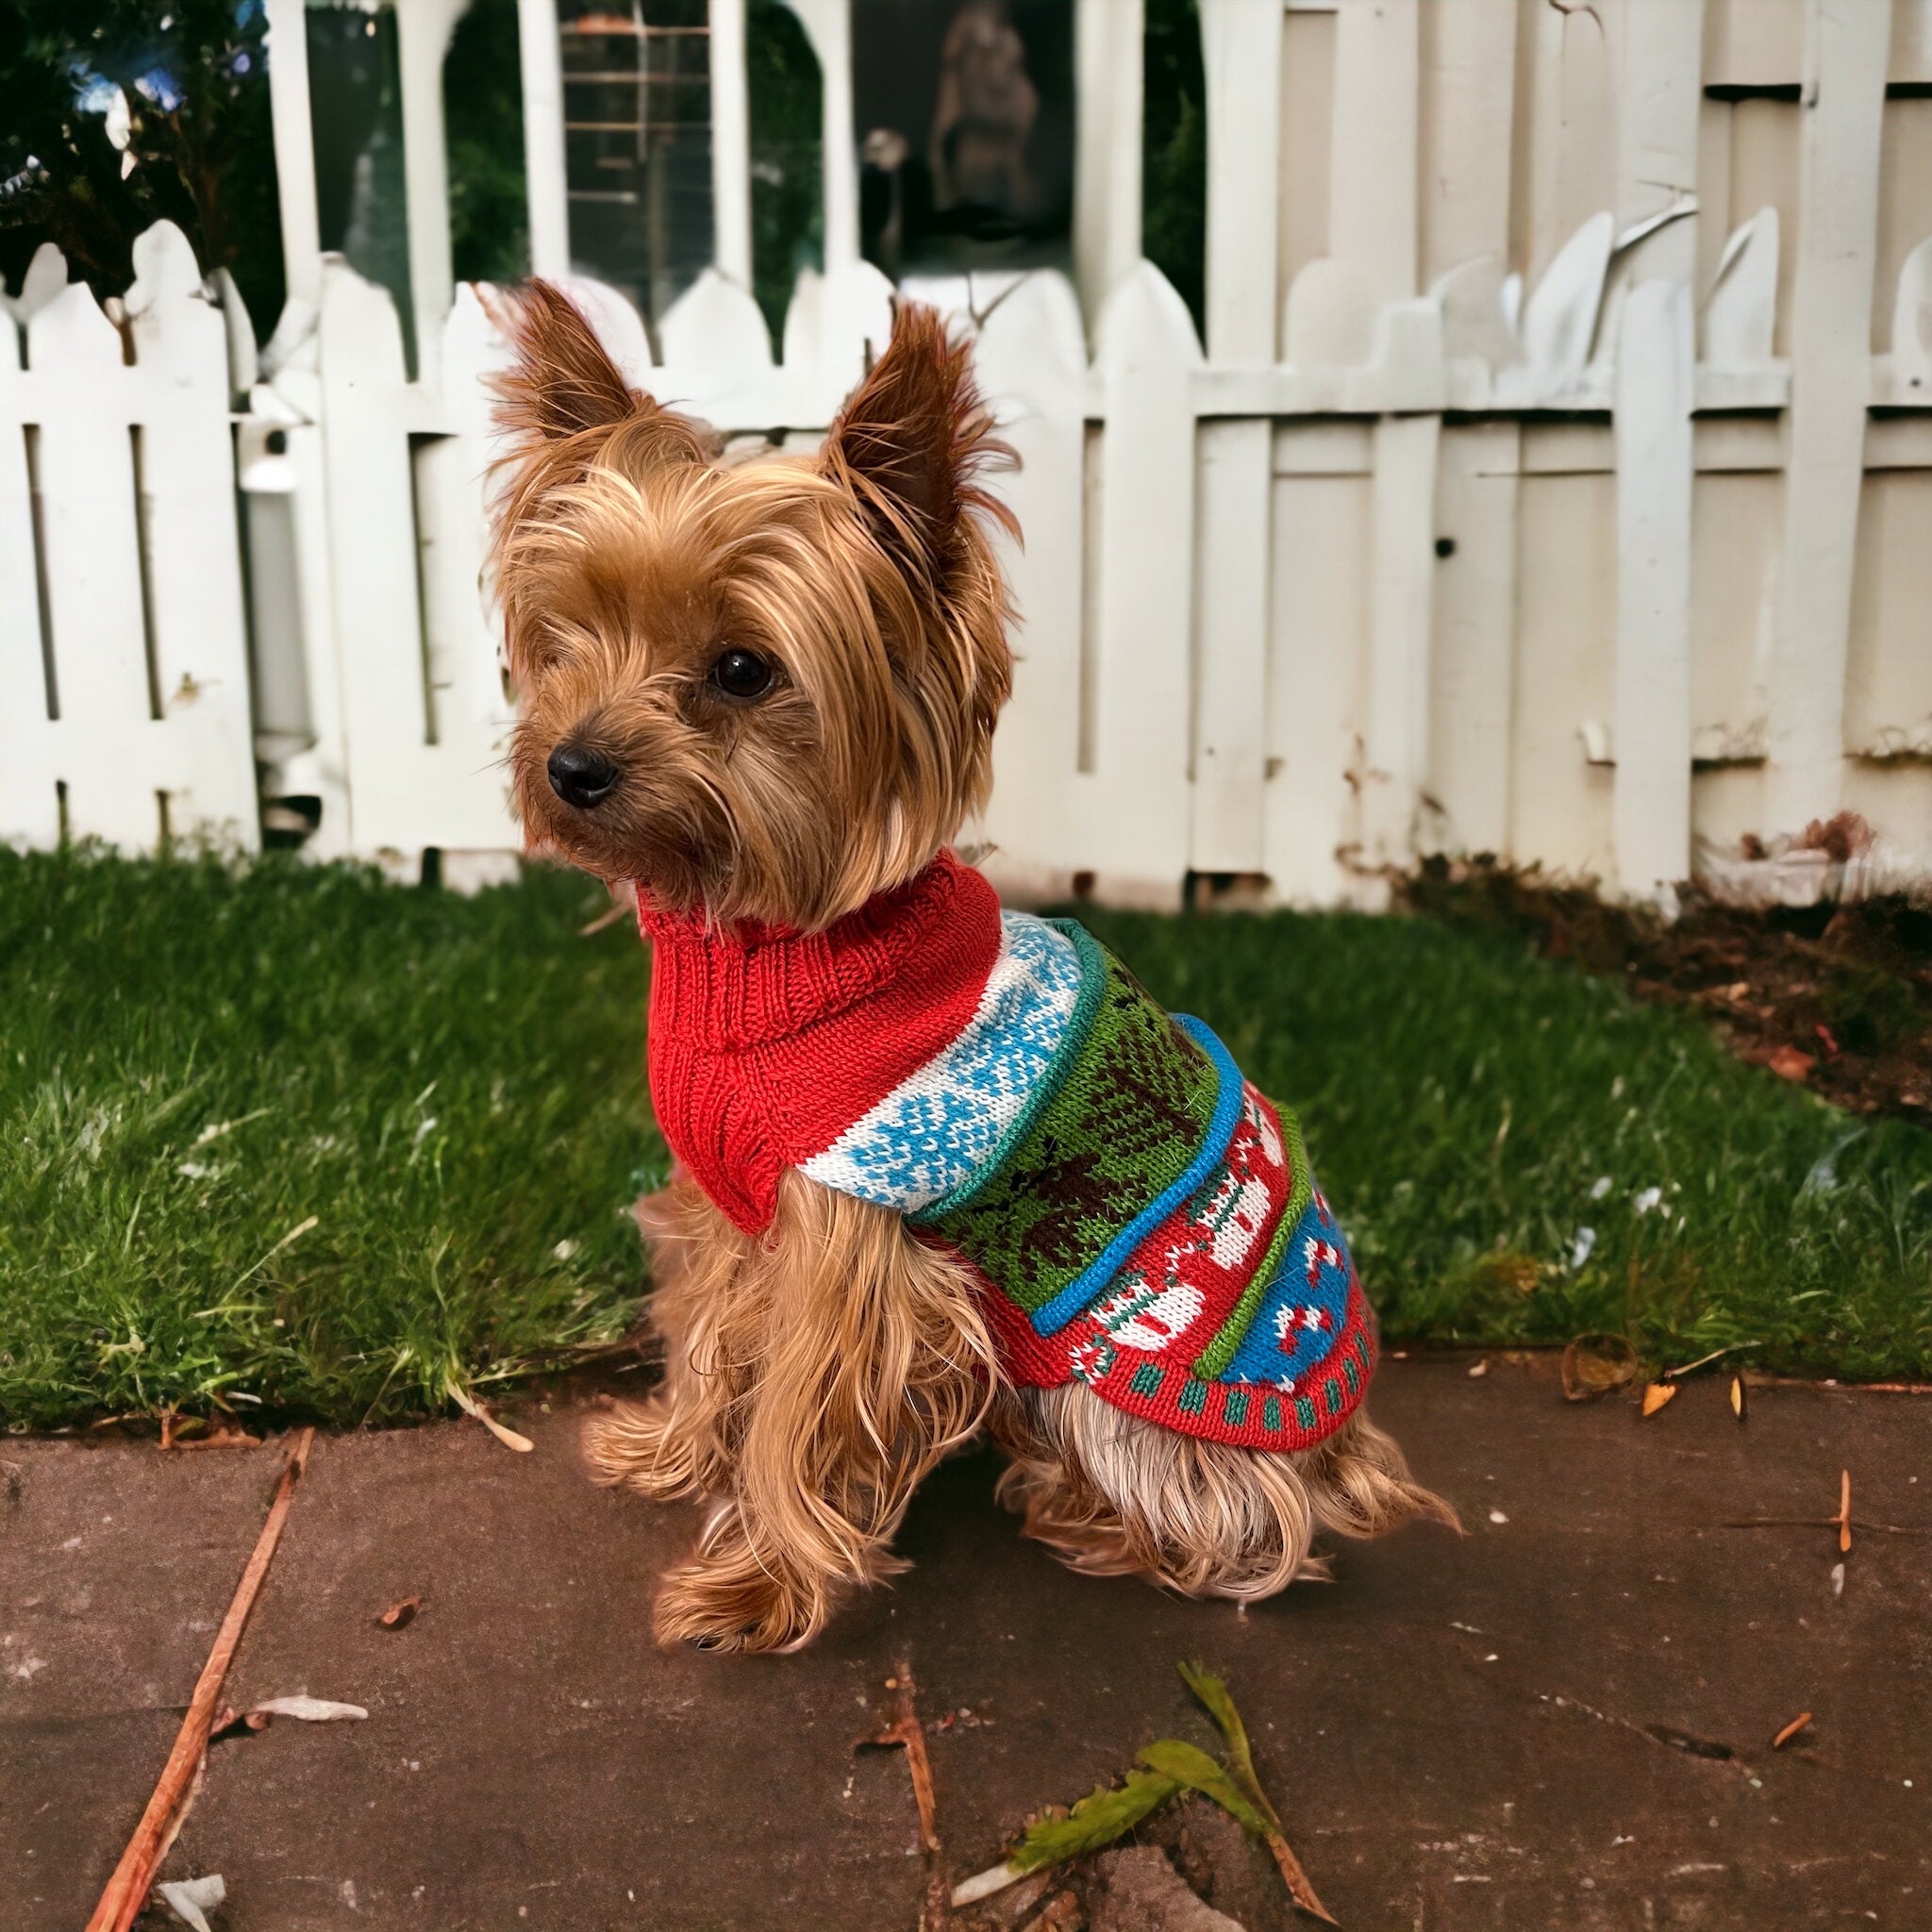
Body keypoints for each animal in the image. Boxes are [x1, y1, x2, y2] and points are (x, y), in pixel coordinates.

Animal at [487, 282, 1453, 1645]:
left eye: (743, 670)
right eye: (567, 636)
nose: (570, 767)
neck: (765, 942)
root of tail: (1347, 1439)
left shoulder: (858, 1243)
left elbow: (793, 1415)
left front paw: (759, 1584)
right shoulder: (734, 1203)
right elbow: (709, 1337)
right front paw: (670, 1455)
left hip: (1113, 1377)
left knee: (1242, 1526)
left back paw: (1084, 1512)